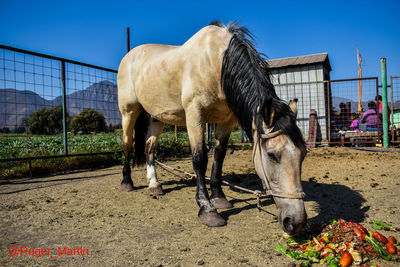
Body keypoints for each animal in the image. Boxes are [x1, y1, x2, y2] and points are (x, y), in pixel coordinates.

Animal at [117, 21, 308, 234]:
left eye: (303, 154)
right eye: (271, 155)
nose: (295, 222)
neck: (217, 62)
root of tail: (129, 55)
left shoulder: (227, 120)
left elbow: (219, 155)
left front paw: (219, 197)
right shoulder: (195, 114)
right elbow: (199, 159)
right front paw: (207, 208)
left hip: (157, 117)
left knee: (150, 147)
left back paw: (154, 185)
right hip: (129, 111)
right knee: (127, 144)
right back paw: (127, 182)